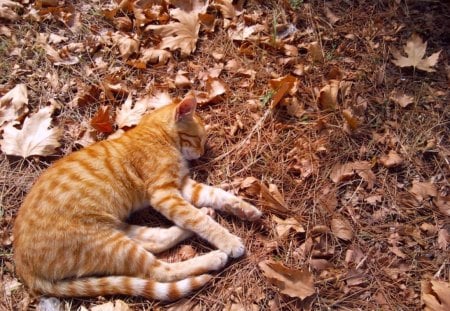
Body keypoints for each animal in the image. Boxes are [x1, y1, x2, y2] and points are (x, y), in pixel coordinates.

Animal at [12, 97, 262, 302]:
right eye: (198, 139)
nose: (201, 154)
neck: (157, 135)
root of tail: (23, 268)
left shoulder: (183, 186)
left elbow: (217, 195)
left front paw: (245, 209)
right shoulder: (164, 193)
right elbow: (199, 221)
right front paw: (228, 240)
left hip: (116, 231)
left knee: (156, 240)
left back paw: (199, 221)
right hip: (108, 243)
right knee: (160, 271)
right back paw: (213, 258)